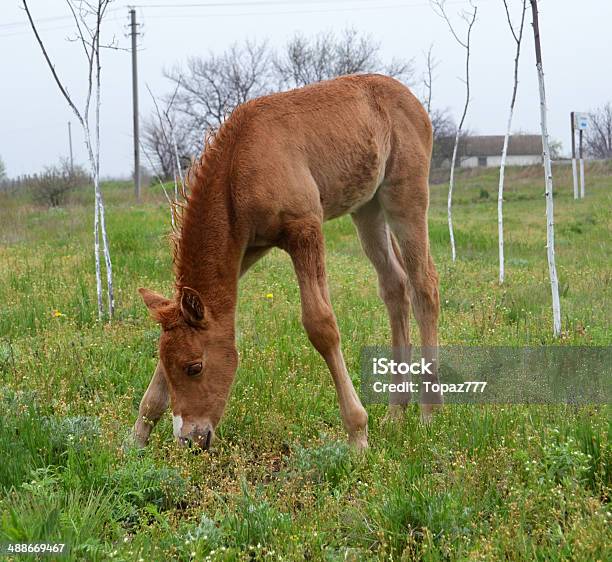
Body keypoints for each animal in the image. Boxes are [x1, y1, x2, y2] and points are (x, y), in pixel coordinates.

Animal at [133, 74, 440, 450]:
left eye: (195, 367)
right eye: (170, 364)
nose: (191, 440)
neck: (240, 163)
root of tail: (409, 98)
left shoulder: (304, 229)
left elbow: (321, 325)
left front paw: (357, 434)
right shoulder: (246, 249)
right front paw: (136, 438)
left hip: (405, 195)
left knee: (424, 284)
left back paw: (428, 415)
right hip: (367, 208)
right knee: (395, 285)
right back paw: (396, 414)